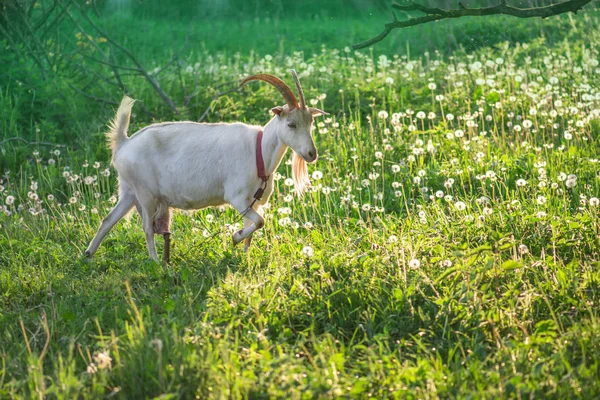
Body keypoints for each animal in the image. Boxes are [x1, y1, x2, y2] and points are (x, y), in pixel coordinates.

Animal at [85, 70, 324, 260]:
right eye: (291, 124)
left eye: (311, 122)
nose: (311, 154)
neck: (259, 150)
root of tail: (123, 144)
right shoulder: (237, 197)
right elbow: (259, 223)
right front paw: (235, 237)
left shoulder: (254, 202)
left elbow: (253, 226)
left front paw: (245, 255)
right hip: (145, 193)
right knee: (146, 227)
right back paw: (155, 261)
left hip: (128, 190)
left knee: (108, 219)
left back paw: (88, 254)